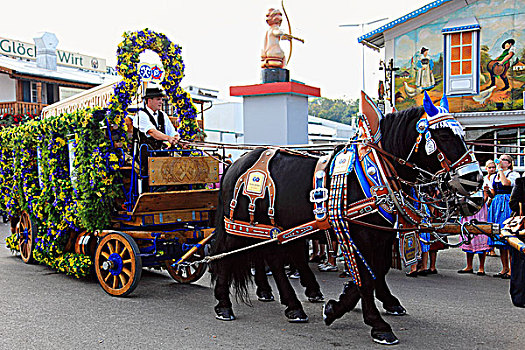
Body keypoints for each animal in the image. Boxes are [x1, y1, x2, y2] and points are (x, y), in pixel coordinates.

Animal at [211, 95, 482, 344]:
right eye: (444, 136)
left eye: (461, 134)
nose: (475, 179)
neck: (376, 171)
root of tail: (236, 163)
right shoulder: (361, 234)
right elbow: (367, 274)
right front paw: (375, 323)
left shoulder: (382, 235)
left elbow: (377, 270)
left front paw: (342, 304)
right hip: (238, 226)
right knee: (225, 256)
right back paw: (224, 304)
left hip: (274, 228)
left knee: (275, 261)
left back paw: (293, 305)